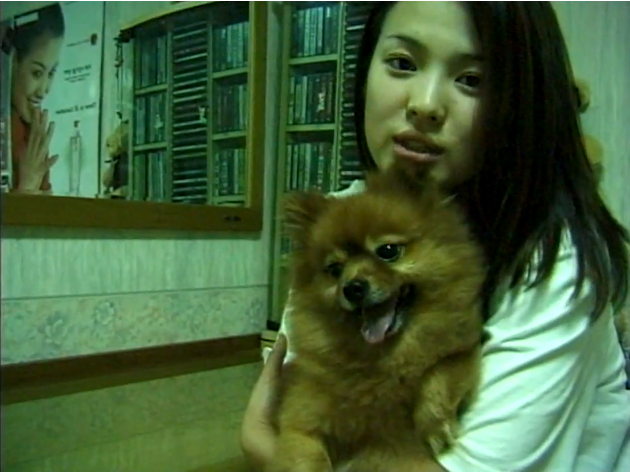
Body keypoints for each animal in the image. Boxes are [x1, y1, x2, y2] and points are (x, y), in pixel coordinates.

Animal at [270, 160, 486, 472]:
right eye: (335, 269)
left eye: (387, 251)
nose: (352, 288)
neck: (382, 360)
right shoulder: (300, 427)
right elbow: (307, 458)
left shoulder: (464, 351)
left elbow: (443, 371)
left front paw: (434, 424)